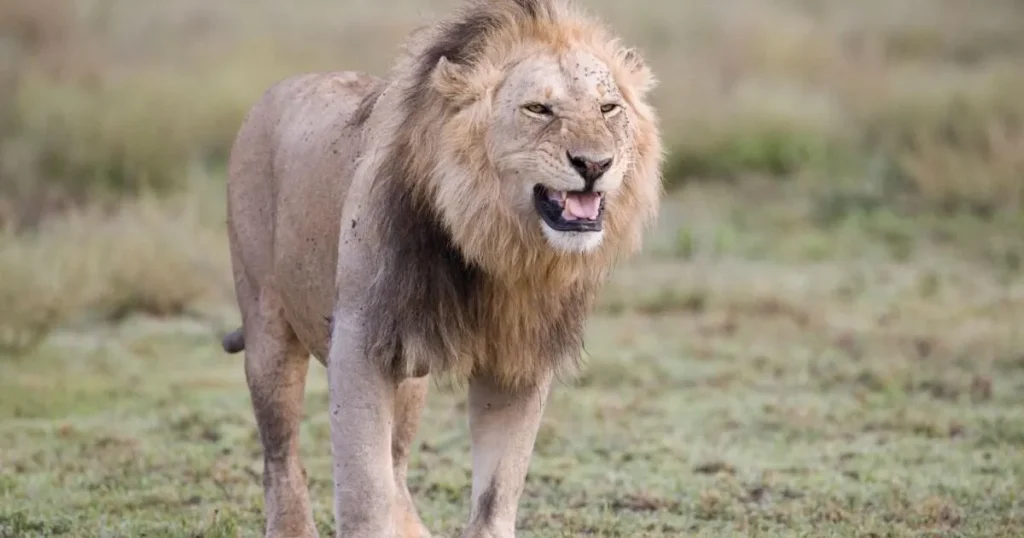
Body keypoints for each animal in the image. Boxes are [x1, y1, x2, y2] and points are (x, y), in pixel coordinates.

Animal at [221, 0, 663, 536]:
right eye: (538, 109)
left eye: (607, 109)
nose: (595, 164)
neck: (501, 249)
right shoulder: (359, 343)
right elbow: (364, 492)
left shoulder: (518, 360)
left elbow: (496, 492)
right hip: (268, 329)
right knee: (281, 456)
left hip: (411, 375)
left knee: (395, 463)